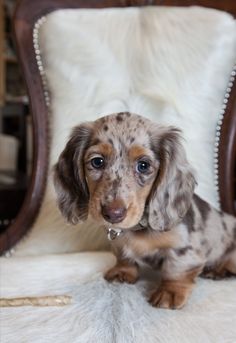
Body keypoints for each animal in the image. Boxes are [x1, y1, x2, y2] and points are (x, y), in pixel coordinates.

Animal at [54, 112, 236, 310]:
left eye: (143, 165)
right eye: (97, 161)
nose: (113, 214)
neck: (138, 228)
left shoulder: (185, 248)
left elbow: (176, 269)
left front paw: (170, 291)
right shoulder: (118, 244)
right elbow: (123, 256)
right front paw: (122, 271)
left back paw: (219, 269)